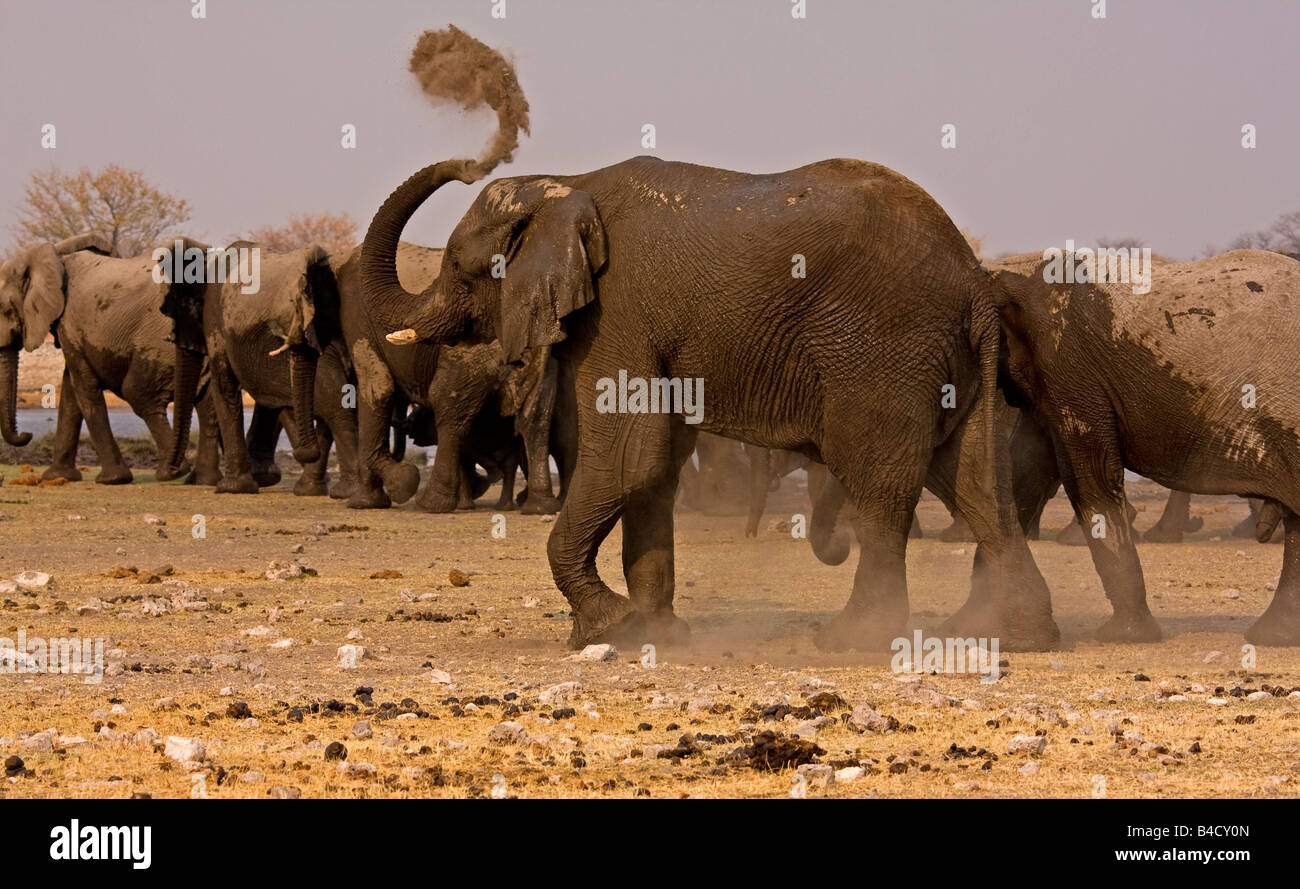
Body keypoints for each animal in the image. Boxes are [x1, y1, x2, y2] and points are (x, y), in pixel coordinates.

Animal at [0, 233, 218, 486]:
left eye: (5, 310)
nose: (27, 434)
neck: (55, 254)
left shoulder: (69, 323)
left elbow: (84, 388)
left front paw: (113, 479)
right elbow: (71, 390)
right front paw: (57, 477)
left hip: (160, 342)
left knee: (139, 393)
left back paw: (172, 472)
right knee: (207, 400)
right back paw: (202, 480)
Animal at [161, 239, 356, 496]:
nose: (172, 471)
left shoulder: (215, 321)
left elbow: (224, 385)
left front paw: (232, 488)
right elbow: (268, 396)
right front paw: (263, 478)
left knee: (334, 403)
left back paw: (349, 491)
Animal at [330, 239, 569, 514]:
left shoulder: (356, 314)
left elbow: (377, 386)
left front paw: (364, 503)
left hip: (470, 354)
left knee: (449, 408)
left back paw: (432, 503)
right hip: (541, 356)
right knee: (537, 417)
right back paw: (537, 506)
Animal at [361, 154, 1050, 652]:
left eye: (458, 267)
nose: (466, 165)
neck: (566, 185)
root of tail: (974, 279)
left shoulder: (618, 312)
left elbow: (629, 455)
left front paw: (609, 630)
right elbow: (655, 465)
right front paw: (656, 635)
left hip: (884, 352)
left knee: (880, 481)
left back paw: (853, 641)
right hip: (949, 362)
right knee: (974, 479)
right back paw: (1001, 634)